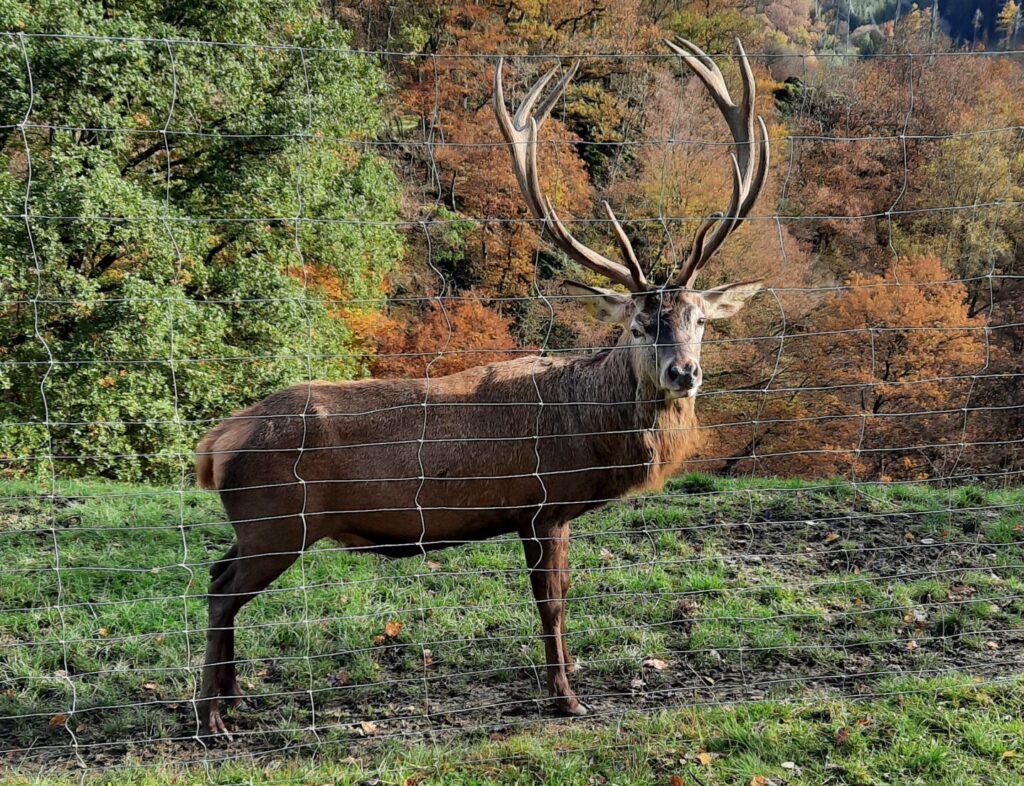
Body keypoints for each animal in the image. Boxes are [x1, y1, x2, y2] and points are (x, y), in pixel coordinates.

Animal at [192, 36, 770, 736]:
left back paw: (236, 700)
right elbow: (552, 605)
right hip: (278, 519)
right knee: (220, 589)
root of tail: (217, 440)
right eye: (636, 324)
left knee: (219, 577)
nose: (682, 372)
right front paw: (566, 697)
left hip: (264, 525)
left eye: (701, 320)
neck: (590, 432)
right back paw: (211, 717)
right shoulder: (543, 505)